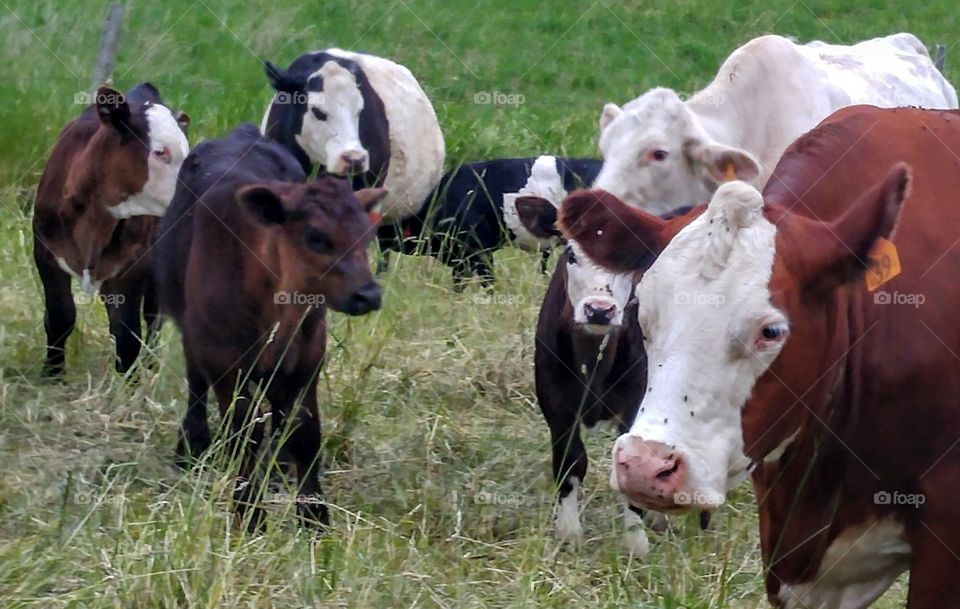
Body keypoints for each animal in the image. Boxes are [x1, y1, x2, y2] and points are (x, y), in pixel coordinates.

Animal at [32, 83, 189, 375]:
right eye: (160, 152)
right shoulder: (46, 255)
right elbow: (60, 316)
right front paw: (52, 374)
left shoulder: (133, 266)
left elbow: (127, 334)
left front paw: (130, 382)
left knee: (154, 318)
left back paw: (151, 366)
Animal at [153, 124, 386, 530]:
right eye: (315, 236)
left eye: (366, 235)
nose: (368, 294)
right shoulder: (224, 363)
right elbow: (245, 434)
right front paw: (248, 513)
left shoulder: (308, 358)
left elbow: (305, 431)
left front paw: (314, 516)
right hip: (194, 337)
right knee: (196, 386)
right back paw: (192, 447)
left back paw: (278, 469)